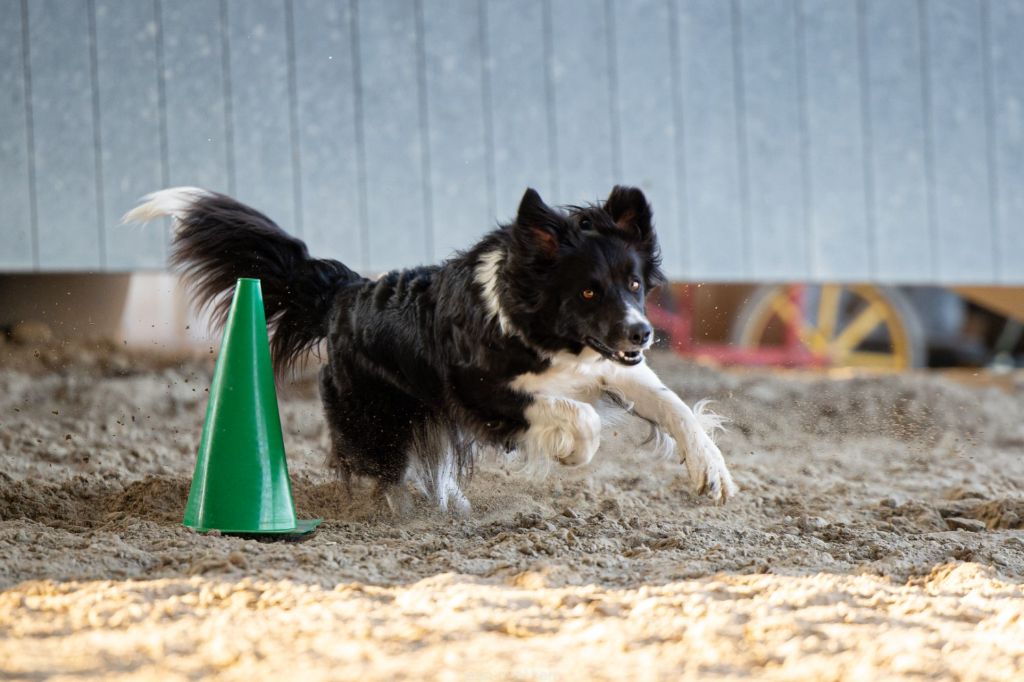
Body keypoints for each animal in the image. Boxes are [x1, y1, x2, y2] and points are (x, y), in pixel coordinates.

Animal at [125, 183, 737, 512]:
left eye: (634, 283)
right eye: (588, 290)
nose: (642, 333)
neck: (535, 323)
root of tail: (348, 292)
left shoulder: (613, 367)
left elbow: (675, 408)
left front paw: (711, 472)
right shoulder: (481, 393)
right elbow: (577, 415)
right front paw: (572, 453)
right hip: (376, 416)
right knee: (379, 466)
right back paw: (393, 506)